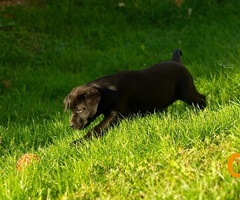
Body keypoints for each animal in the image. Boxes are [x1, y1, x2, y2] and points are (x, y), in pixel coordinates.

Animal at [63, 49, 206, 145]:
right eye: (71, 110)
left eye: (80, 110)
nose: (71, 125)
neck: (105, 92)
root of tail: (175, 61)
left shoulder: (114, 114)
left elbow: (96, 129)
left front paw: (78, 143)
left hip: (187, 92)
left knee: (201, 99)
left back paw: (202, 112)